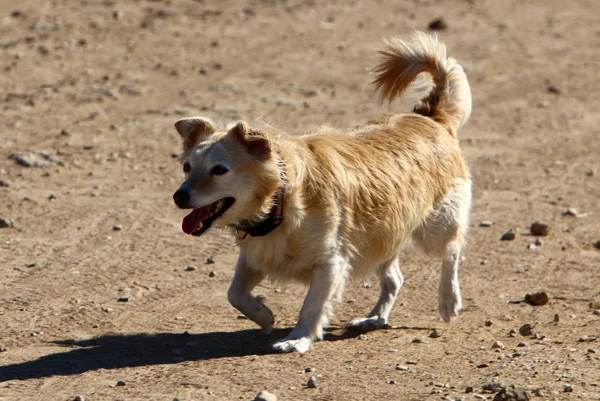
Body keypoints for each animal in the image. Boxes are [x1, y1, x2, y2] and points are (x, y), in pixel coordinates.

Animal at [171, 32, 472, 352]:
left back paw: (448, 301)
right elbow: (234, 293)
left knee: (452, 251)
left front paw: (298, 338)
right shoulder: (257, 254)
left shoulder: (331, 262)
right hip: (383, 236)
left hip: (435, 228)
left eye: (219, 170)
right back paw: (375, 317)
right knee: (395, 279)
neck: (282, 199)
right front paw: (264, 315)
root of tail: (430, 118)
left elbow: (311, 306)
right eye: (187, 167)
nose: (179, 196)